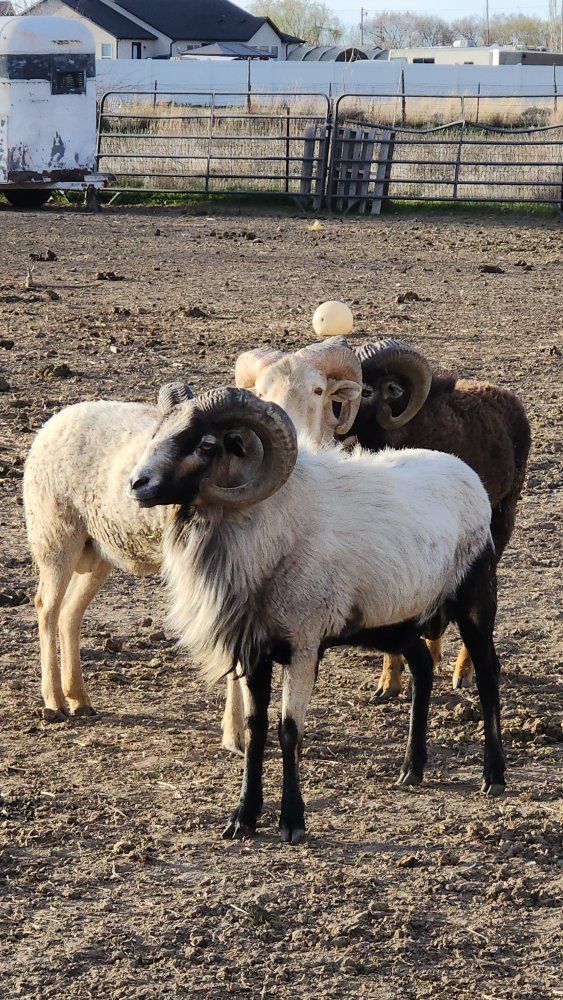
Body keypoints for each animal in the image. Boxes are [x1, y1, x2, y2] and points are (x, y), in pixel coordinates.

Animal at [128, 385, 506, 845]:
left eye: (206, 444)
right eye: (158, 432)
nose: (137, 484)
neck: (270, 530)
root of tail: (467, 474)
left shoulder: (304, 646)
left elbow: (288, 730)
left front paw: (292, 821)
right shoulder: (255, 650)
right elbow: (255, 728)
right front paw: (242, 818)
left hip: (476, 601)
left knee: (487, 675)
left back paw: (493, 777)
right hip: (393, 623)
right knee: (421, 665)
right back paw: (411, 770)